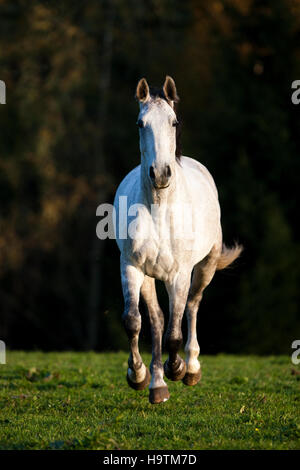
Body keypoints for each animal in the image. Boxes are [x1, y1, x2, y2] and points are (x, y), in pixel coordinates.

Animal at [112, 77, 241, 404]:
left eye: (173, 122)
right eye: (140, 123)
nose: (160, 174)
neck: (159, 209)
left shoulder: (179, 275)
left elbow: (174, 331)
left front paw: (178, 368)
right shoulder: (131, 267)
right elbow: (134, 321)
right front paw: (138, 376)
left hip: (205, 266)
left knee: (193, 305)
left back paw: (191, 367)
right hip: (148, 276)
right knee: (157, 319)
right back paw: (157, 384)